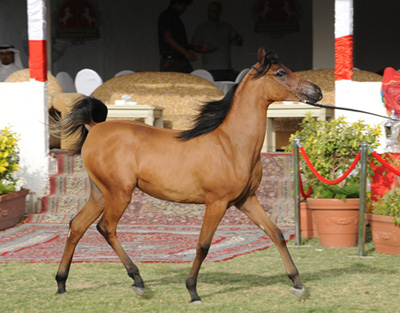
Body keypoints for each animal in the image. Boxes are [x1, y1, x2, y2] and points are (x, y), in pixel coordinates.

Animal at [54, 48, 322, 302]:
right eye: (280, 73)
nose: (316, 91)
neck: (231, 144)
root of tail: (95, 127)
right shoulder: (216, 203)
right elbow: (203, 245)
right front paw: (193, 292)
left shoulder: (246, 200)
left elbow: (276, 233)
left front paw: (298, 285)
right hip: (119, 193)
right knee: (106, 227)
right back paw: (138, 281)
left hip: (100, 194)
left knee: (76, 226)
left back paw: (61, 284)